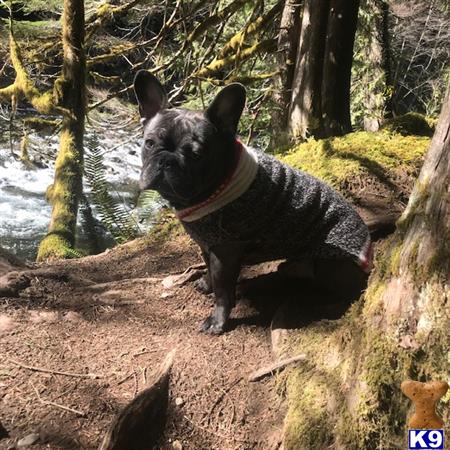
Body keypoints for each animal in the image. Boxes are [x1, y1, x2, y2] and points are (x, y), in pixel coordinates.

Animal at [134, 71, 372, 334]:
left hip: (329, 262)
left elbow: (223, 292)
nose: (167, 160)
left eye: (196, 154)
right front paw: (206, 282)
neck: (219, 182)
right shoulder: (208, 244)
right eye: (149, 143)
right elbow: (209, 268)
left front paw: (217, 321)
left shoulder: (225, 251)